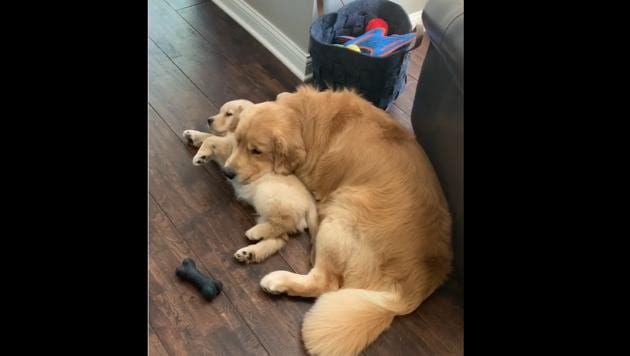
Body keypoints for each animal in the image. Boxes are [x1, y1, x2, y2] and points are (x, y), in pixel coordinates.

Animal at [189, 132, 316, 262]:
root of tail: (310, 201)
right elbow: (210, 137)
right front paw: (193, 136)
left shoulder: (229, 156)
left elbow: (211, 139)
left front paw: (200, 156)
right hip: (269, 213)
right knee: (280, 238)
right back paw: (249, 254)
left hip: (268, 195)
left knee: (286, 222)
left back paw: (254, 233)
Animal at [227, 87, 454, 356]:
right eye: (237, 140)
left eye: (256, 151)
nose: (228, 173)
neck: (306, 120)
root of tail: (411, 293)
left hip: (341, 213)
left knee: (325, 282)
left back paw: (278, 280)